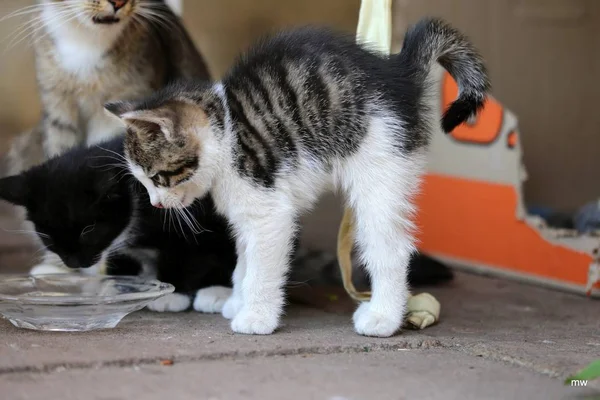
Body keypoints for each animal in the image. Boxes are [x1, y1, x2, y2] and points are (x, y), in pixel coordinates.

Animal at [106, 19, 492, 338]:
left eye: (158, 177)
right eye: (143, 182)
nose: (156, 203)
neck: (227, 131)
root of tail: (398, 70)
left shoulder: (269, 212)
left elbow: (262, 268)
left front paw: (256, 317)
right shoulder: (247, 215)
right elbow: (244, 262)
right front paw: (236, 300)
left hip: (381, 167)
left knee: (390, 247)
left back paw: (383, 317)